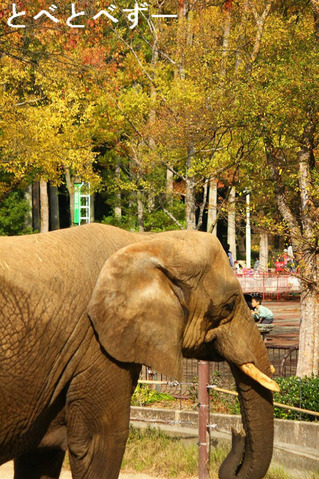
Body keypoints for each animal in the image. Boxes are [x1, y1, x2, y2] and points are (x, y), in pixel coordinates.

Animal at [0, 225, 280, 479]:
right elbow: (99, 444)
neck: (147, 242)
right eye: (229, 306)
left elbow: (42, 453)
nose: (237, 432)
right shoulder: (97, 347)